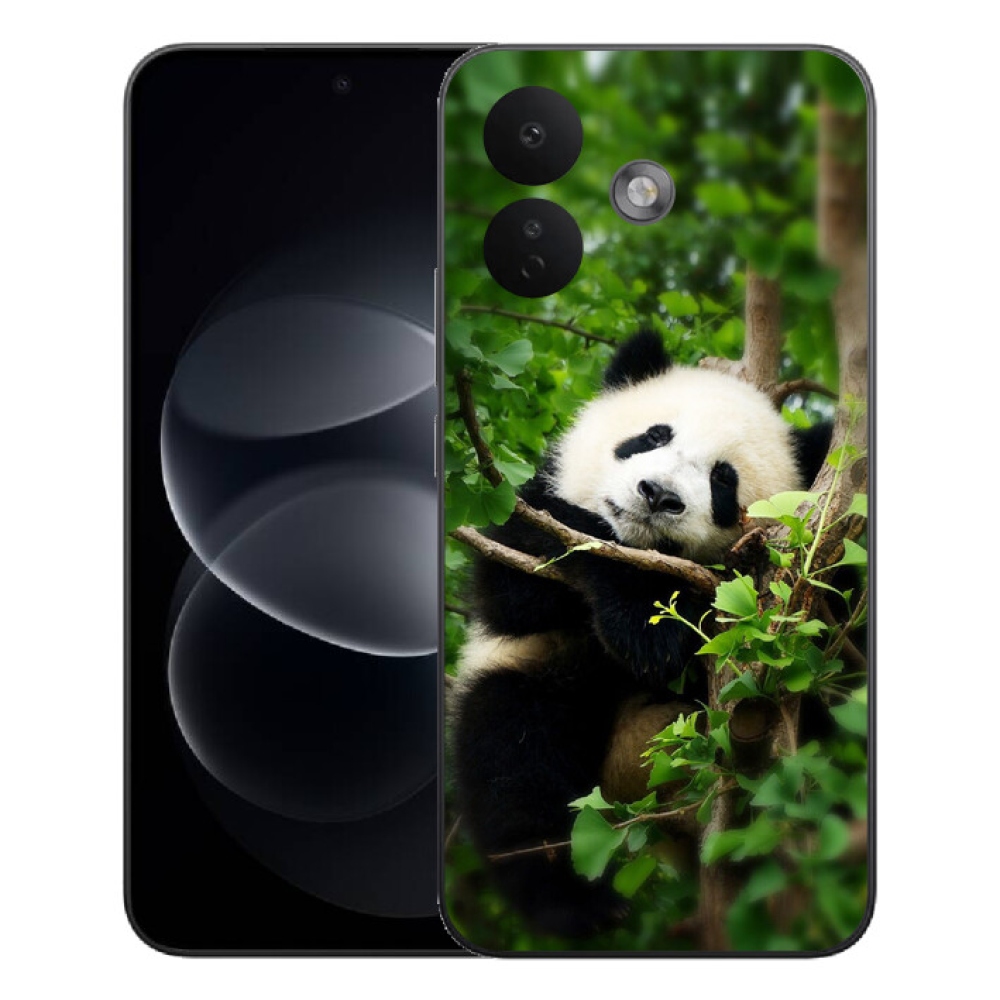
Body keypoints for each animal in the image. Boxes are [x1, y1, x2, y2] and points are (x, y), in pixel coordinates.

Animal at [450, 329, 832, 938]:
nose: (657, 494)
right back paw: (578, 902)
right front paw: (644, 620)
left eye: (723, 479)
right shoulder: (523, 514)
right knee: (515, 762)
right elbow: (517, 586)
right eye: (653, 436)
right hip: (541, 685)